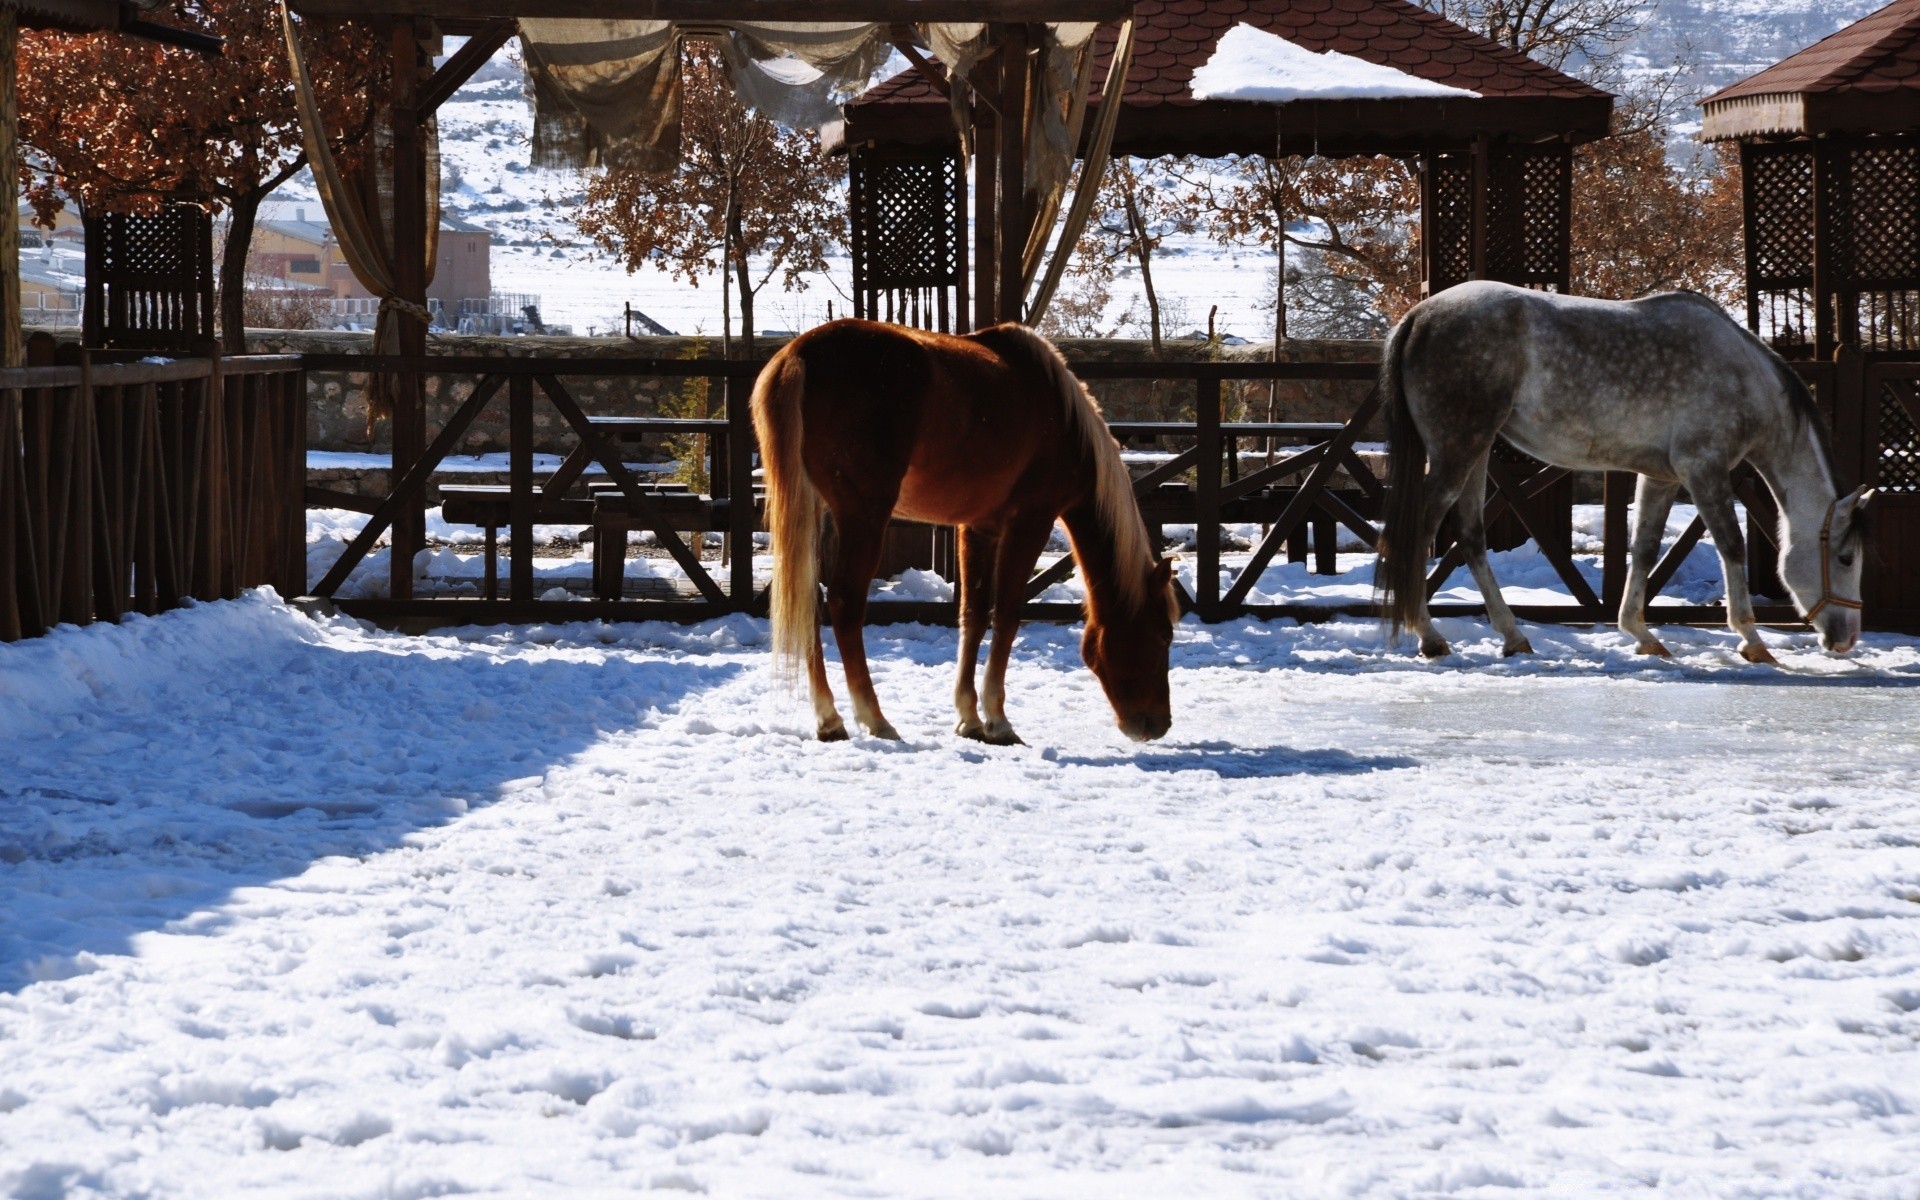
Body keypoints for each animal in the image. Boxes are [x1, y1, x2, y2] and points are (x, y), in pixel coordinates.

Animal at [750, 318, 1177, 744]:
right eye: (1162, 636)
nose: (1157, 725)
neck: (1064, 422)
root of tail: (800, 354)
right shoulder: (1030, 523)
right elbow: (1006, 615)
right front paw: (998, 720)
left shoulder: (978, 528)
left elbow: (972, 615)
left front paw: (969, 717)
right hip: (864, 516)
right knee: (845, 604)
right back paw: (874, 718)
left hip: (815, 511)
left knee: (809, 599)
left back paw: (829, 719)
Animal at [1376, 281, 1875, 663]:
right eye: (1845, 558)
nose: (1847, 639)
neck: (1743, 376)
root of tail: (1418, 315)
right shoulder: (1704, 471)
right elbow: (1731, 547)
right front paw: (1752, 640)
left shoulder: (1662, 477)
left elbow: (1645, 550)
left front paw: (1641, 633)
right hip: (1457, 450)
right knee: (1422, 529)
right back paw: (1430, 637)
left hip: (1475, 451)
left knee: (1471, 536)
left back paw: (1514, 636)